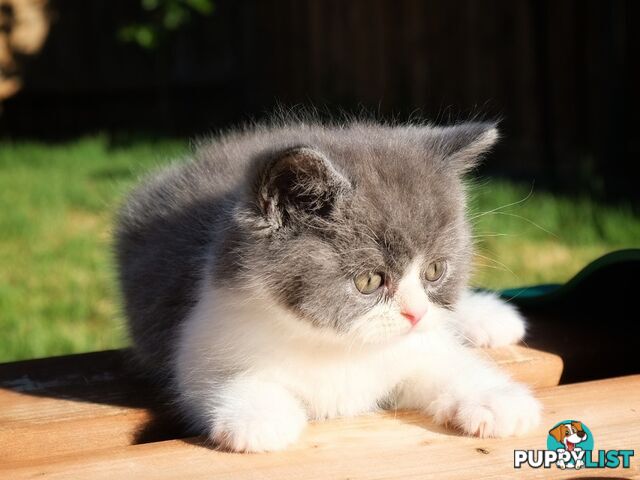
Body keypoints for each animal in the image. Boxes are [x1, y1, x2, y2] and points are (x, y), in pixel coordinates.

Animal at [115, 118, 540, 452]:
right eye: (369, 280)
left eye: (434, 271)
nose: (416, 314)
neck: (341, 346)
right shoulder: (201, 333)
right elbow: (211, 378)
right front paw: (259, 416)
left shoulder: (415, 346)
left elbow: (443, 362)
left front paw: (498, 399)